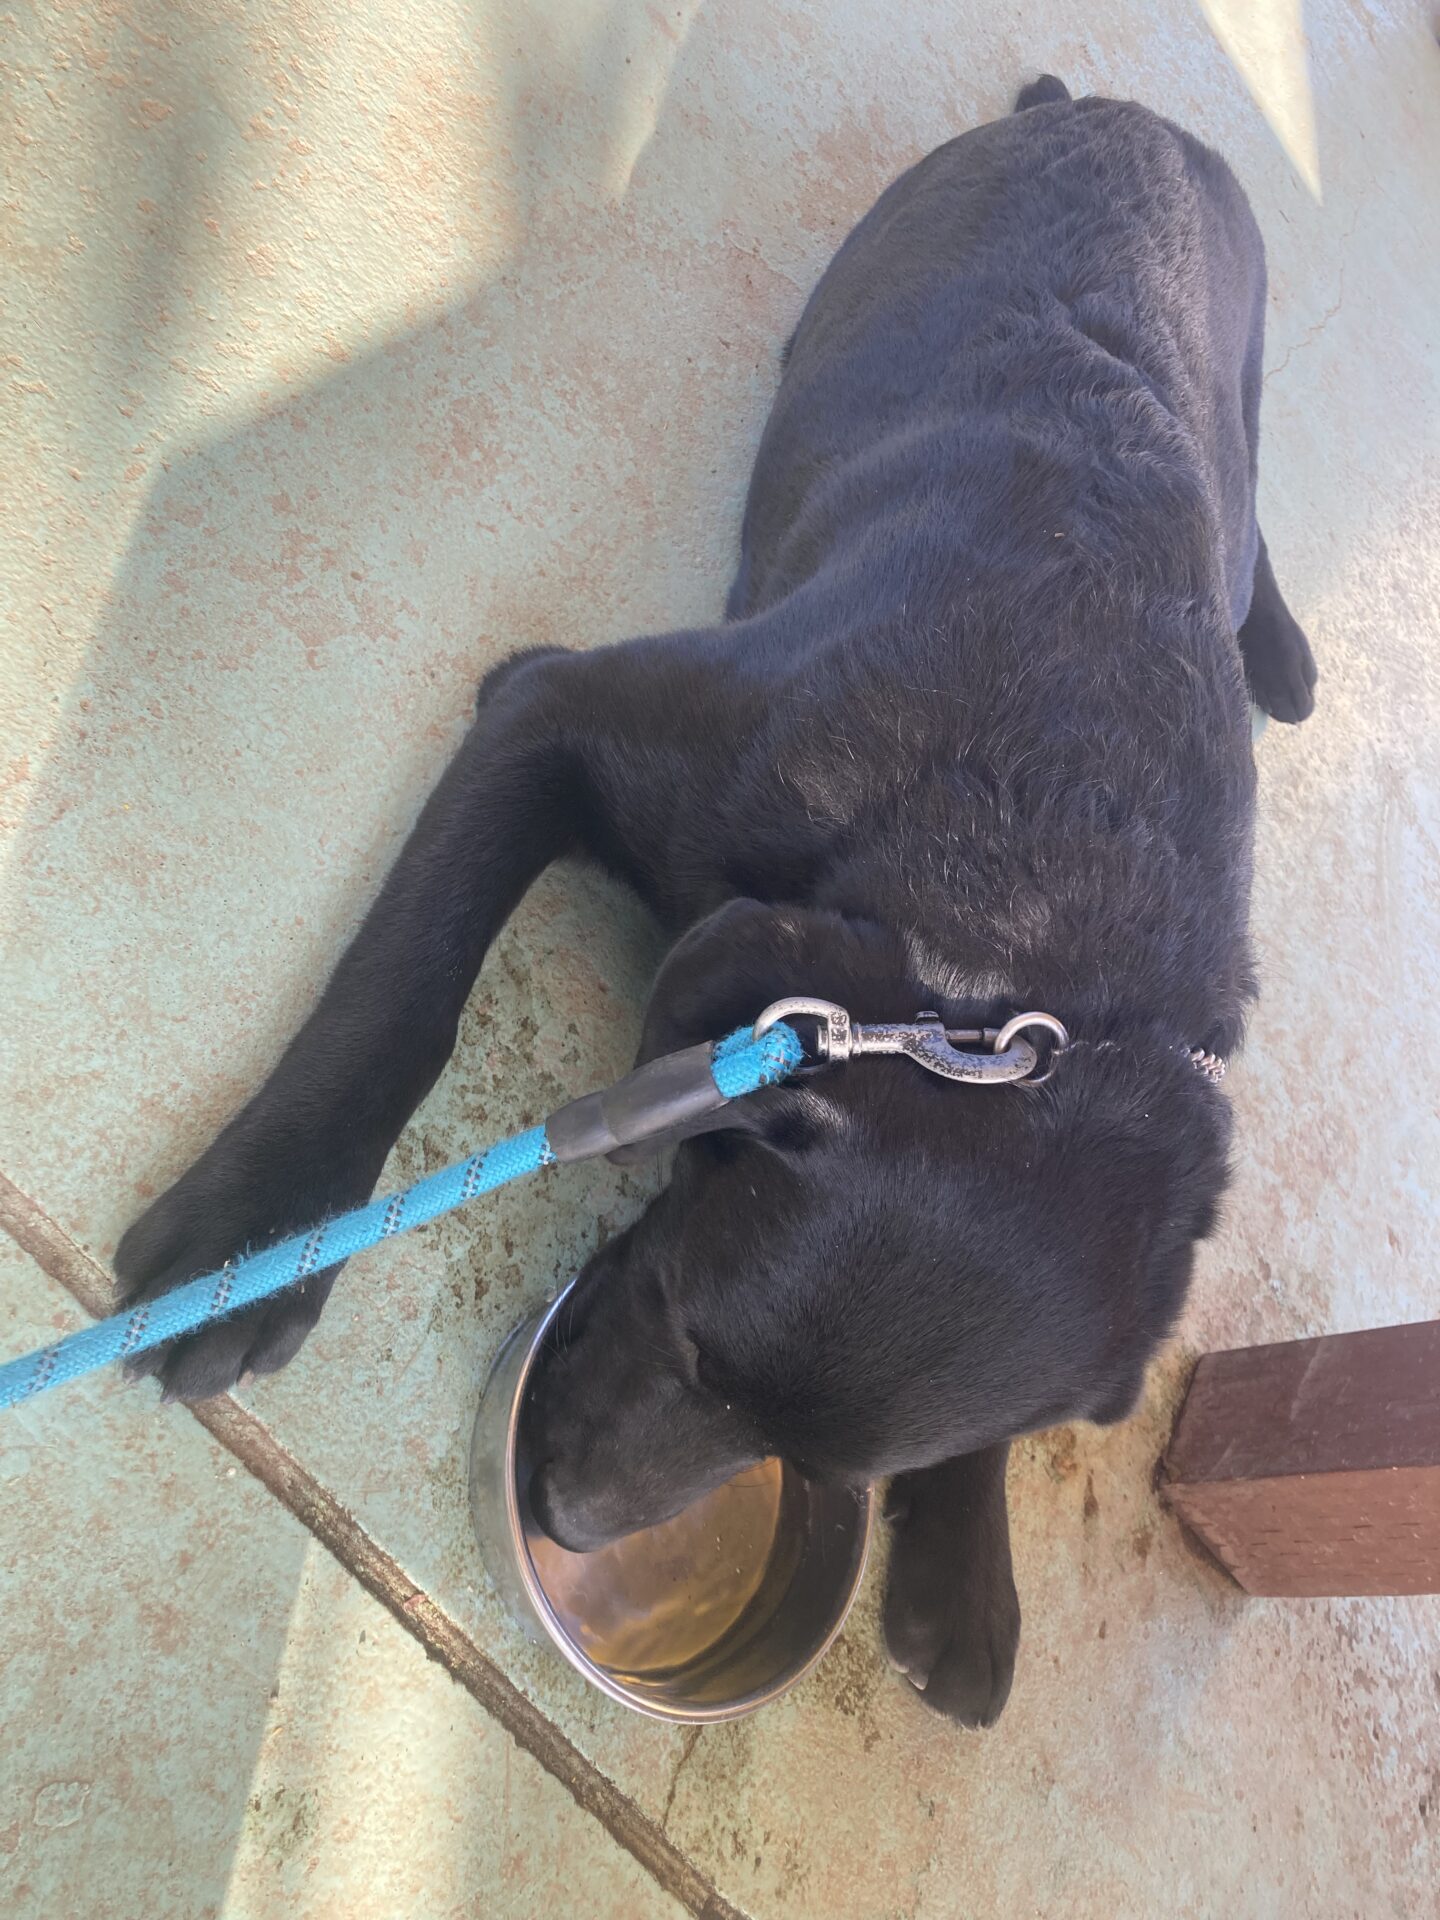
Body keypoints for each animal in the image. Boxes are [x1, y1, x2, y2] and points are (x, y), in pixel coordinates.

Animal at [117, 77, 1316, 1727]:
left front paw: (965, 1558)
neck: (1034, 936)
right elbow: (402, 994)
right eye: (689, 1333)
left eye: (812, 1463)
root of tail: (1110, 104)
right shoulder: (551, 706)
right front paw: (264, 1229)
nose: (563, 1518)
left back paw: (1287, 659)